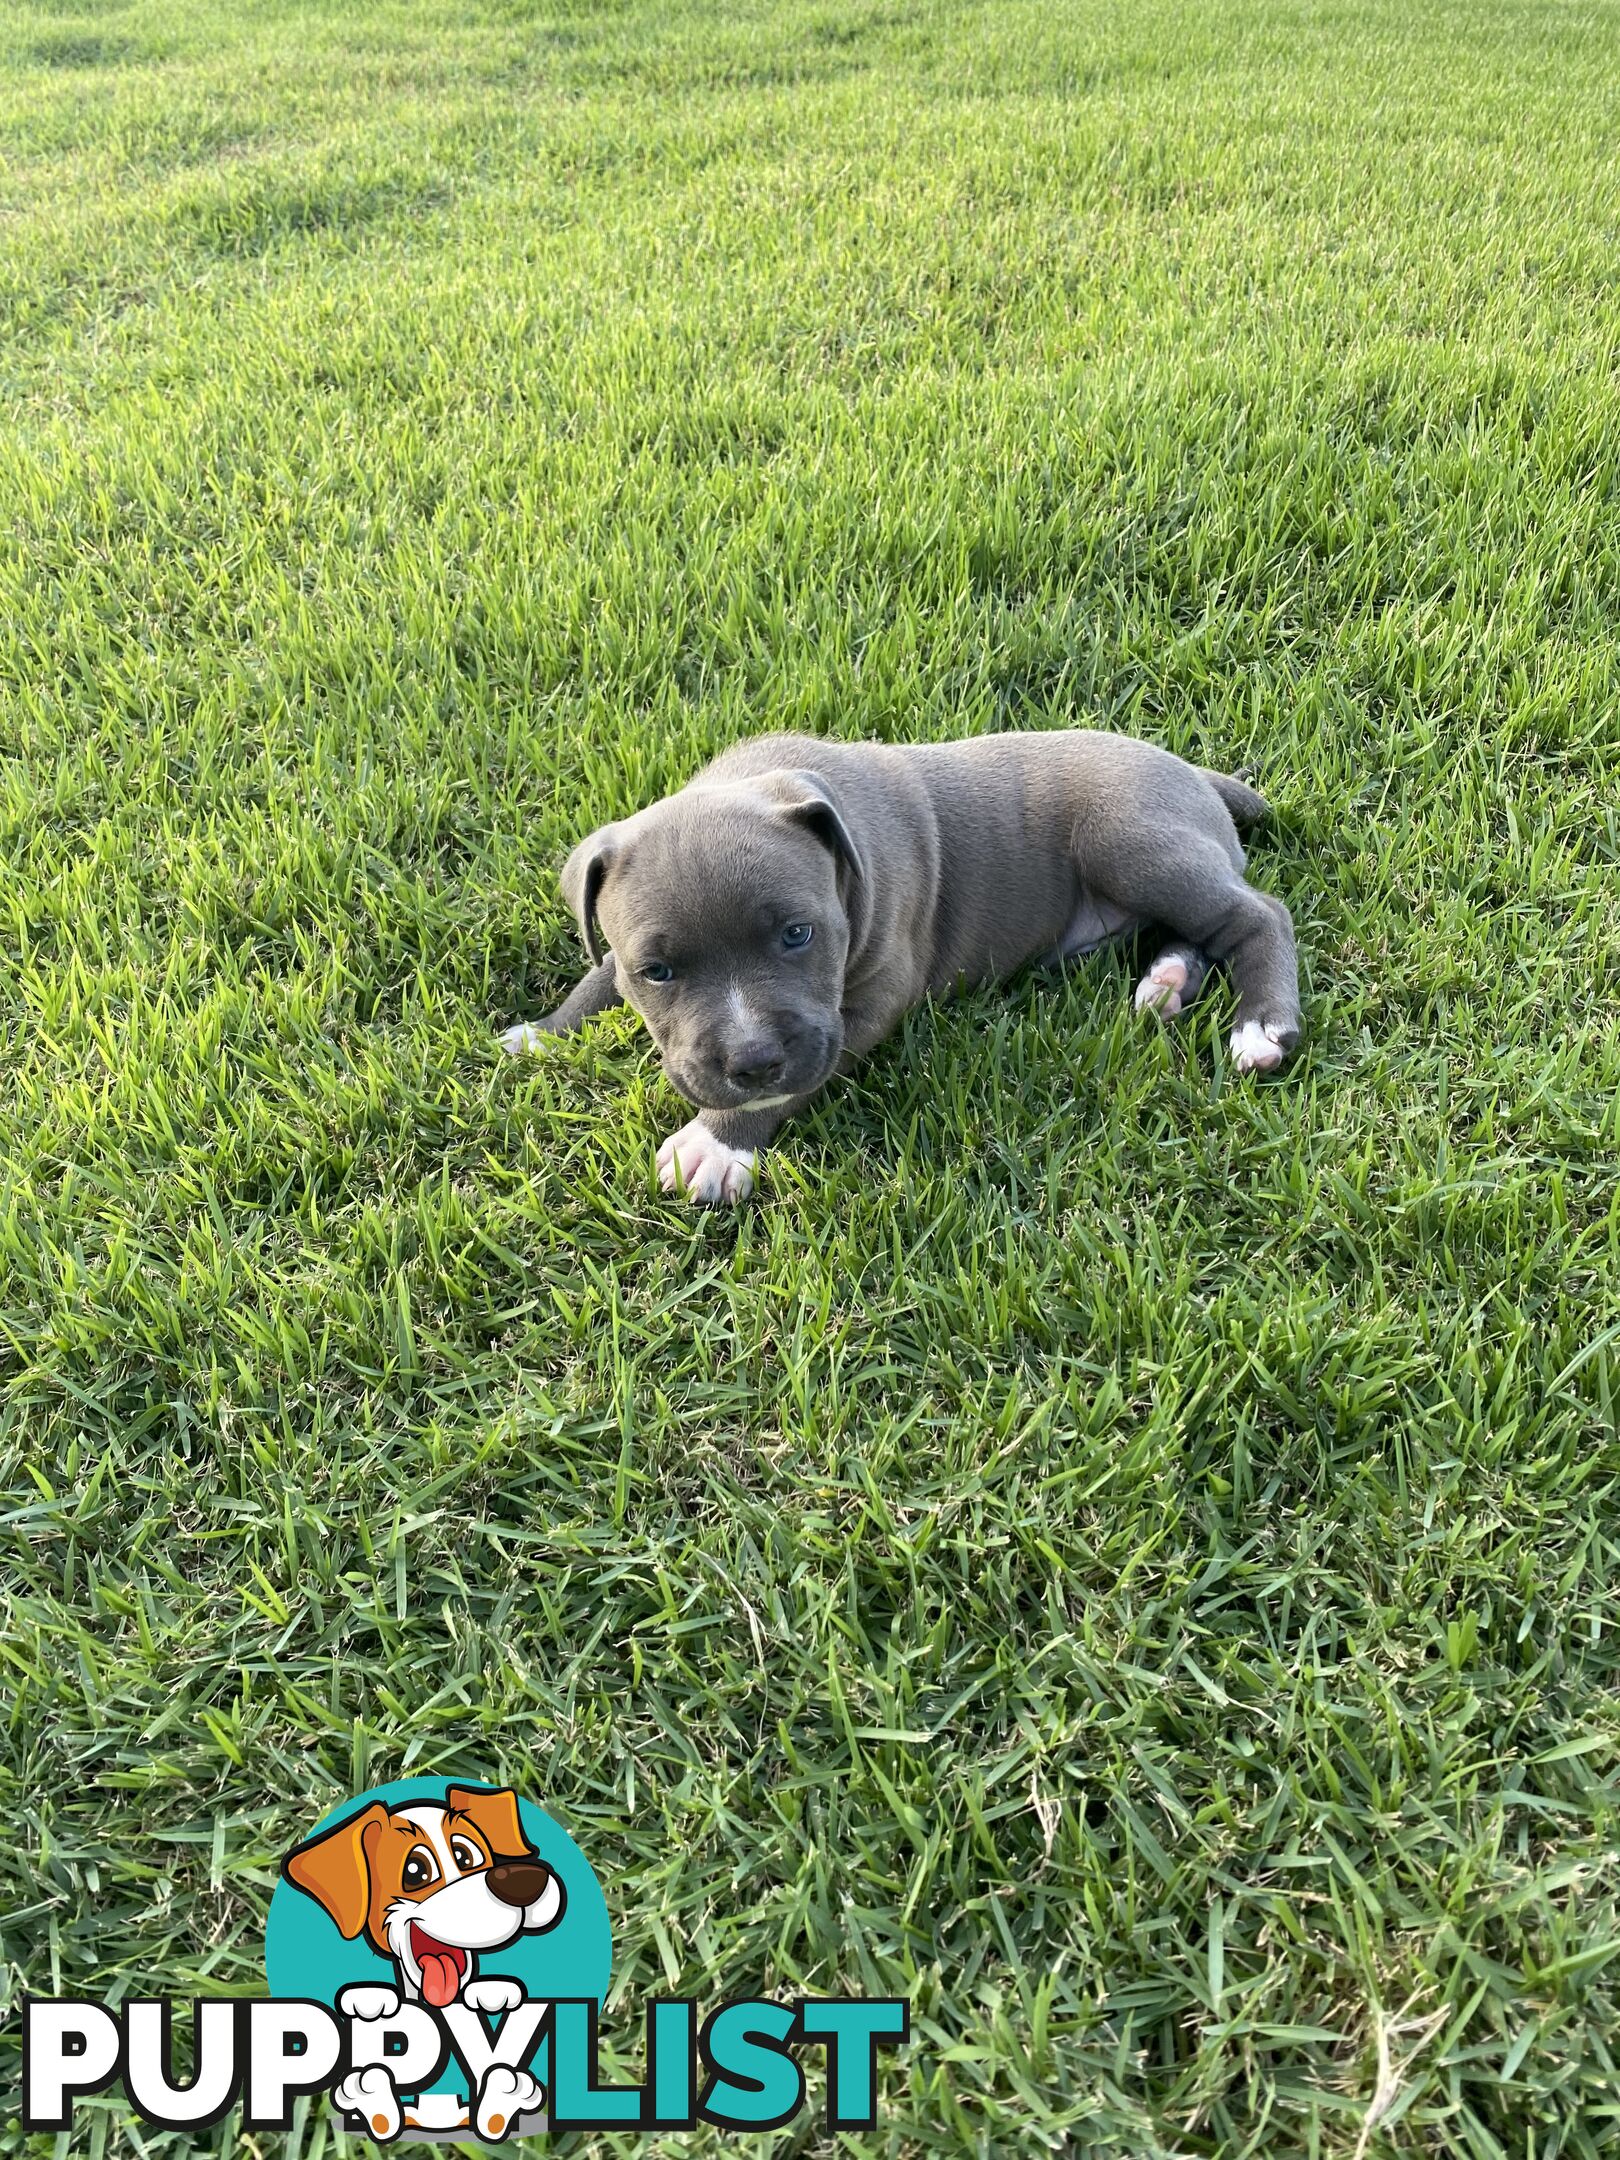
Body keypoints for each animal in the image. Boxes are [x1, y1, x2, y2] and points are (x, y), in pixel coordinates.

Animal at [507, 734, 1304, 1209]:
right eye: (658, 971)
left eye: (798, 935)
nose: (753, 1059)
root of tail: (1191, 771)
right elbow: (597, 976)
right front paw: (545, 1033)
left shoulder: (864, 1008)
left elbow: (793, 1085)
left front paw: (716, 1141)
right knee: (1198, 932)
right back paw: (1166, 981)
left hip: (1129, 835)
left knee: (1256, 915)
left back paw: (1261, 1026)